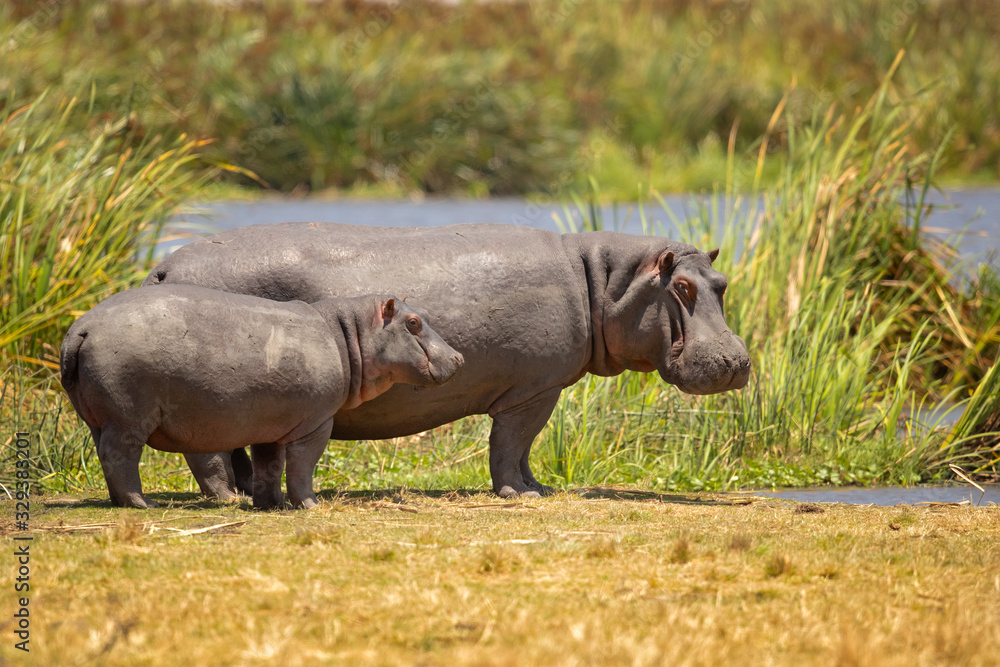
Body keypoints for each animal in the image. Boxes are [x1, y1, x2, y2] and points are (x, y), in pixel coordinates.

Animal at [59, 284, 463, 509]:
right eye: (413, 323)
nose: (459, 357)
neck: (349, 333)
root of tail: (81, 327)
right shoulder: (315, 424)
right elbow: (302, 466)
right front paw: (310, 505)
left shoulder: (272, 427)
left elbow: (269, 467)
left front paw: (272, 505)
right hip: (128, 418)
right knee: (121, 456)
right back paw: (143, 504)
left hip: (98, 418)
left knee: (105, 455)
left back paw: (119, 502)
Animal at [145, 222, 751, 498]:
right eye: (682, 288)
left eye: (722, 282)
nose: (738, 362)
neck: (608, 281)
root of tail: (163, 267)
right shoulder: (534, 390)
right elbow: (511, 443)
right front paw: (519, 494)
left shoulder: (537, 388)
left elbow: (521, 449)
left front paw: (538, 490)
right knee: (208, 451)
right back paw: (228, 496)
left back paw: (248, 491)